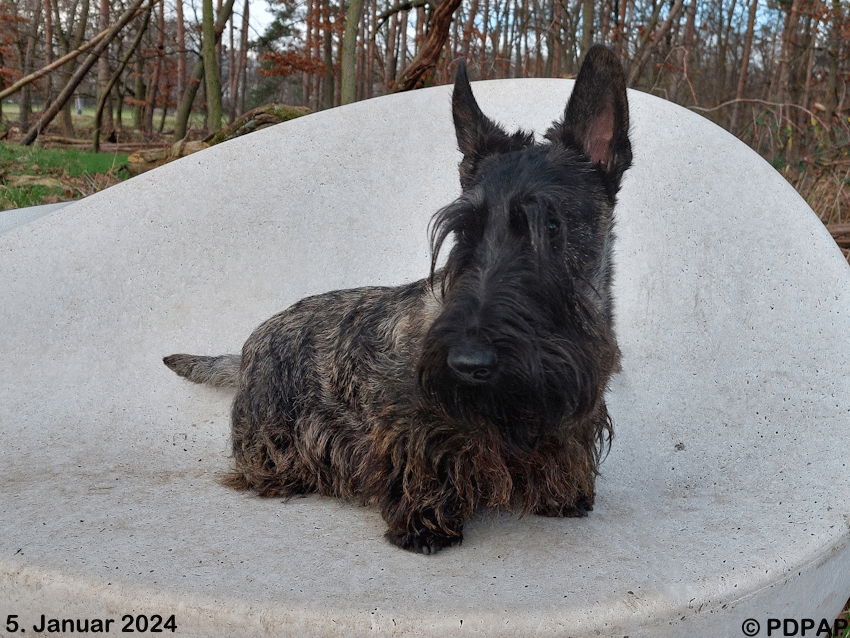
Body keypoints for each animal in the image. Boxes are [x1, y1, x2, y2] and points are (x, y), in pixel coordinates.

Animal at [166, 45, 628, 556]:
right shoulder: (411, 433)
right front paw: (424, 524)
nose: (468, 364)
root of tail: (248, 347)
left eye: (551, 225)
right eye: (464, 232)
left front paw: (563, 495)